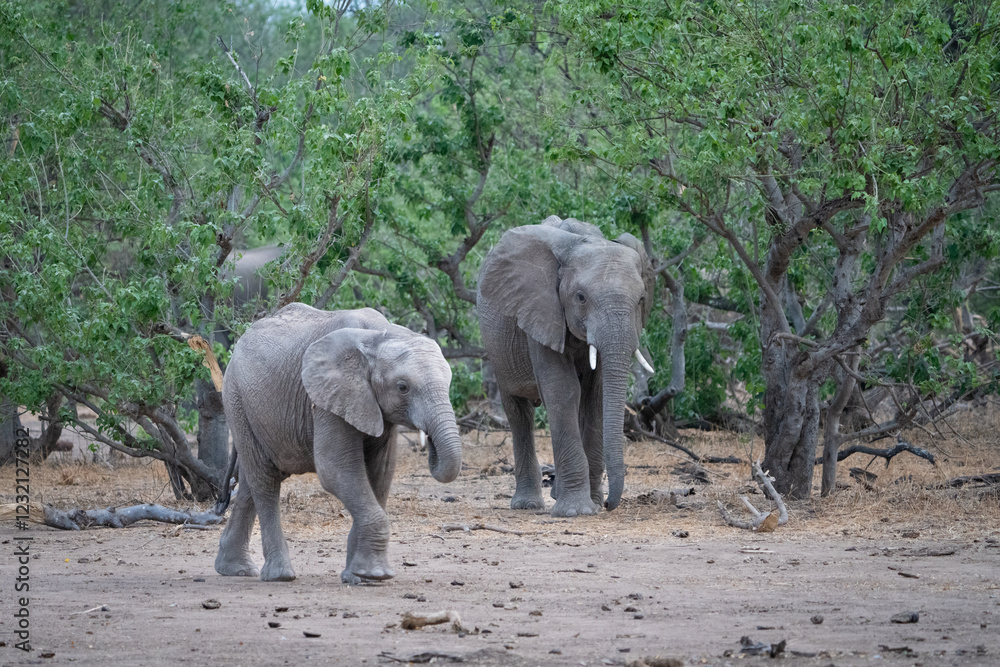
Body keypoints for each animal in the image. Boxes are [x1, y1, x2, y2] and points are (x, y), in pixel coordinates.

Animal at [214, 303, 463, 583]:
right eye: (403, 387)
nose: (429, 442)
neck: (380, 335)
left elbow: (380, 474)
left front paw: (358, 577)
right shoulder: (329, 398)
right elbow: (335, 470)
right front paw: (376, 574)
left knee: (251, 480)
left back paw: (235, 570)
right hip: (236, 399)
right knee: (264, 480)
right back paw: (280, 575)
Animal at [477, 216, 655, 516]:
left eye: (641, 299)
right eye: (580, 297)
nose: (609, 504)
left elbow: (595, 396)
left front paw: (592, 504)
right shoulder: (540, 309)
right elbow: (563, 389)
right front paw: (576, 512)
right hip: (498, 350)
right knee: (518, 412)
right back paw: (528, 504)